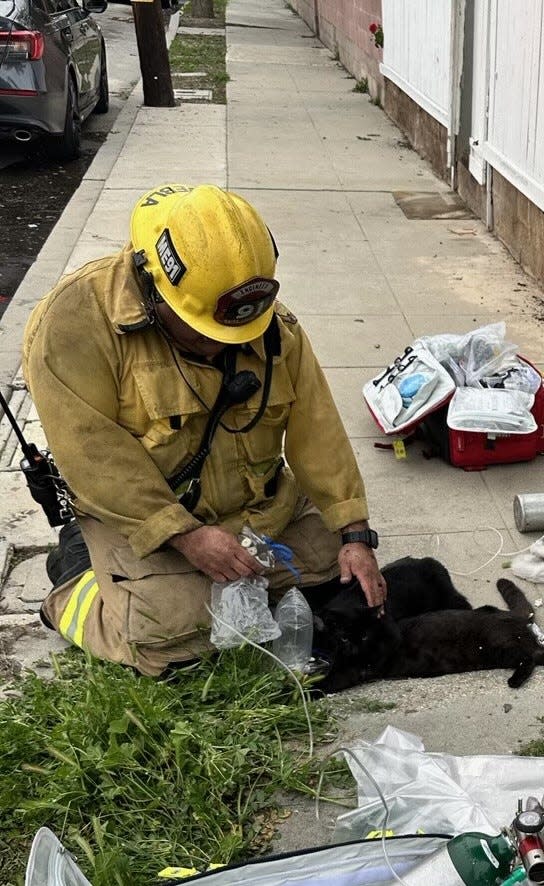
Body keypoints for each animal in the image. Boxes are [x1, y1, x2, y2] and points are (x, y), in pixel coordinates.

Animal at [310, 560, 544, 696]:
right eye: (344, 638)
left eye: (365, 636)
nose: (354, 648)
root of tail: (513, 616)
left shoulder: (353, 670)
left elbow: (325, 684)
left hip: (502, 648)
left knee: (531, 656)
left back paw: (514, 681)